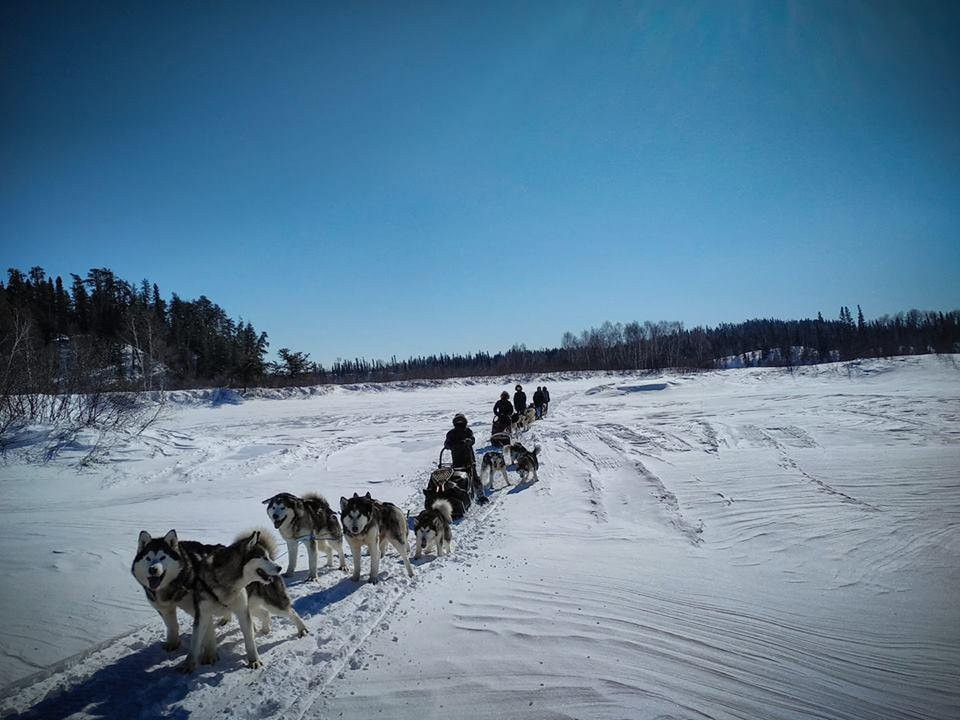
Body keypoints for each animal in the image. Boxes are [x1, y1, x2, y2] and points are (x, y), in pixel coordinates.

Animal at [131, 524, 308, 672]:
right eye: (262, 557)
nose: (279, 568)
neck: (227, 581)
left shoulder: (241, 611)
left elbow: (249, 640)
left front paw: (254, 660)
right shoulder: (202, 614)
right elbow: (196, 641)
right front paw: (189, 664)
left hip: (273, 603)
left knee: (291, 611)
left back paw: (302, 629)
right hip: (253, 605)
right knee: (264, 613)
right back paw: (265, 629)